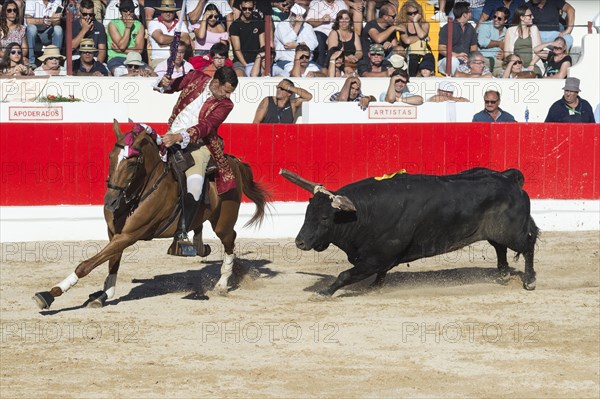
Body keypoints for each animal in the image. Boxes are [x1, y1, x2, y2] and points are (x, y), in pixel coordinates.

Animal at [32, 120, 268, 310]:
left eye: (132, 162)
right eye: (111, 156)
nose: (109, 202)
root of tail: (234, 161)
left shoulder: (130, 235)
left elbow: (86, 265)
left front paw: (49, 294)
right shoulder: (115, 234)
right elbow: (112, 262)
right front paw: (103, 295)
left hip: (223, 221)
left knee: (230, 240)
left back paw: (221, 284)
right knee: (202, 233)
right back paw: (196, 247)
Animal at [282, 167, 540, 296]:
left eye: (325, 218)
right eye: (306, 214)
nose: (300, 242)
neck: (363, 213)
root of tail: (508, 178)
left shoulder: (376, 258)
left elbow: (345, 275)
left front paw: (324, 292)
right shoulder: (380, 259)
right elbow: (378, 275)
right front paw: (375, 288)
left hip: (514, 232)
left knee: (527, 247)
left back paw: (529, 281)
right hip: (497, 232)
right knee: (500, 248)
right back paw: (503, 274)